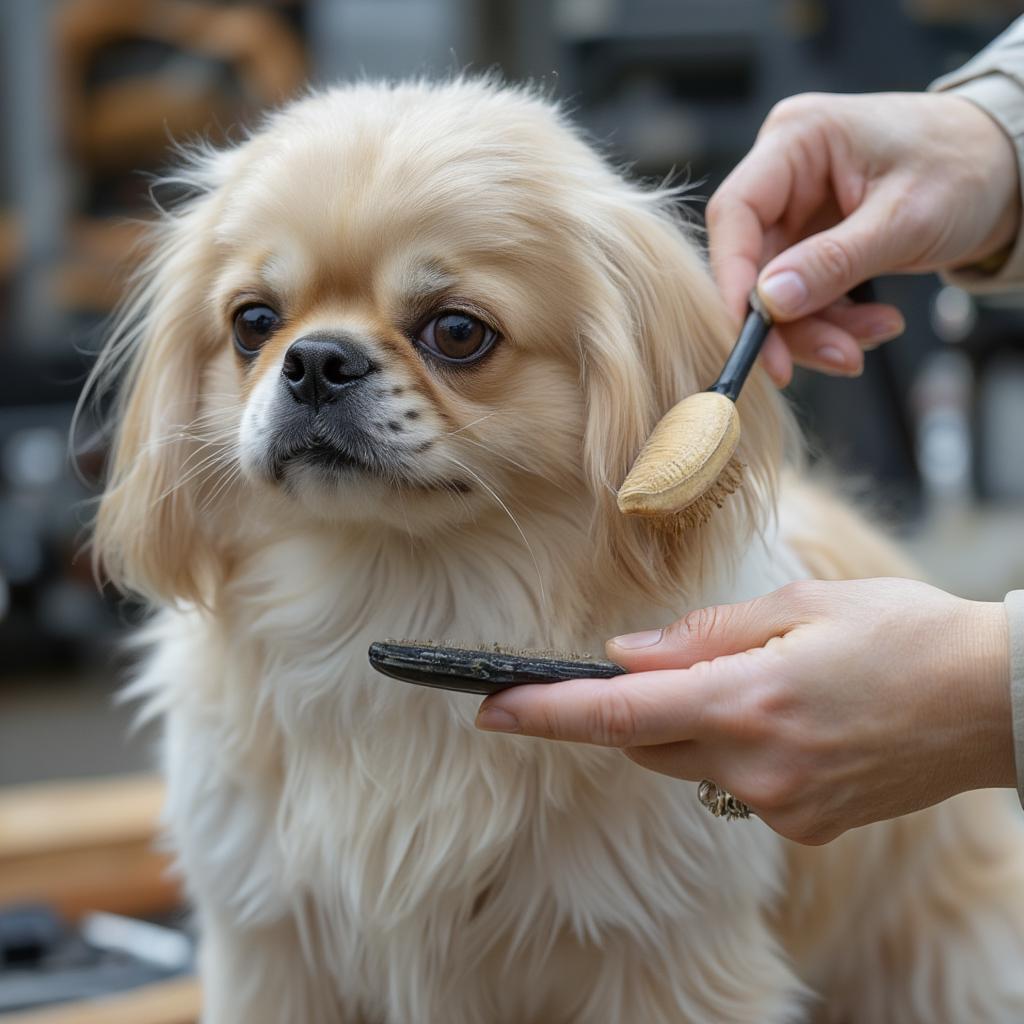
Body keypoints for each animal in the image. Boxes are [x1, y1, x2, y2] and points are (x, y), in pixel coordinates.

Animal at [94, 81, 1024, 1024]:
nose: (316, 359)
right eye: (252, 322)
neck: (405, 584)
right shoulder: (271, 953)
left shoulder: (668, 963)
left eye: (457, 332)